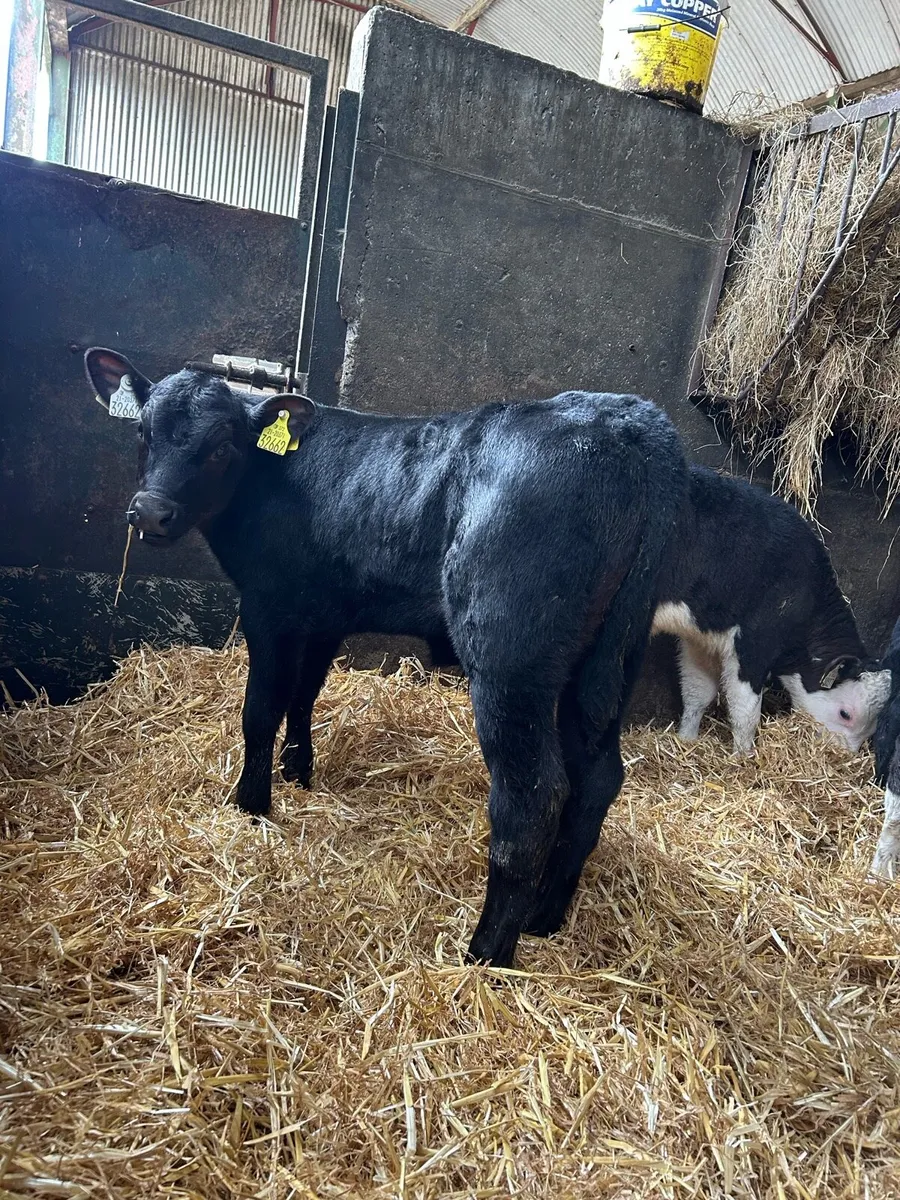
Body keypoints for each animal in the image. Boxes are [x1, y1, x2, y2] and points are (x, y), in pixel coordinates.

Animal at [84, 348, 687, 968]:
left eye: (223, 443)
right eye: (142, 430)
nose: (149, 513)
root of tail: (628, 421)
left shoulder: (267, 606)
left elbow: (261, 710)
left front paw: (251, 805)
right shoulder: (323, 614)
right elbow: (304, 695)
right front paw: (298, 773)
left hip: (510, 657)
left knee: (533, 798)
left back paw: (485, 954)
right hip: (609, 661)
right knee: (597, 780)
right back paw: (544, 918)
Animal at [651, 464, 890, 756]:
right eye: (846, 714)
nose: (840, 757)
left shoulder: (700, 638)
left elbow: (697, 692)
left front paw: (686, 740)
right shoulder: (754, 645)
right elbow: (745, 711)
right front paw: (743, 757)